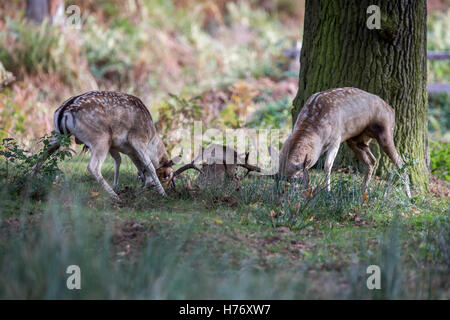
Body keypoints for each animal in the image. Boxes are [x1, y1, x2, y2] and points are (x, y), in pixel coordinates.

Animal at [34, 90, 176, 200]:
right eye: (167, 175)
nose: (149, 186)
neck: (151, 137)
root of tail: (64, 111)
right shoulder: (137, 139)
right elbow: (150, 166)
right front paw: (163, 194)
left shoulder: (115, 146)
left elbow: (118, 161)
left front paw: (117, 186)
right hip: (101, 137)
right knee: (93, 166)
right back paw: (114, 196)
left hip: (57, 136)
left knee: (40, 156)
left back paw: (31, 181)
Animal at [282, 87, 412, 198]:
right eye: (283, 179)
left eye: (297, 179)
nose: (290, 195)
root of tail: (392, 110)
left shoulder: (336, 138)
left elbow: (327, 165)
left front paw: (327, 191)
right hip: (357, 140)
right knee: (372, 160)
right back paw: (363, 191)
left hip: (386, 132)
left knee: (401, 163)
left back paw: (408, 195)